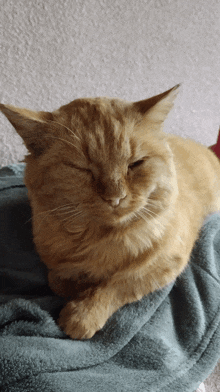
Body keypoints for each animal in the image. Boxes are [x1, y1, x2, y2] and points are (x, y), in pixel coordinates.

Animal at [0, 86, 220, 340]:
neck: (99, 239)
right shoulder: (55, 267)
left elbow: (119, 284)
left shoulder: (165, 263)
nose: (115, 198)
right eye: (82, 168)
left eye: (135, 164)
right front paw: (81, 288)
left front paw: (83, 313)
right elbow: (58, 281)